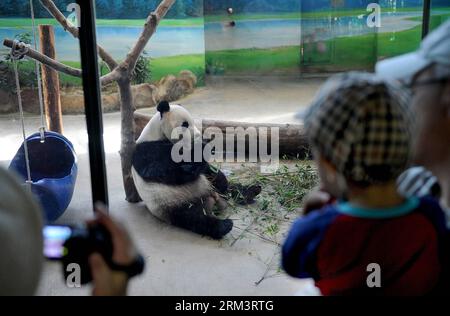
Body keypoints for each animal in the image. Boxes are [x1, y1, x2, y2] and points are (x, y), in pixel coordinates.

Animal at [131, 101, 260, 239]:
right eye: (185, 124)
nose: (198, 136)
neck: (156, 133)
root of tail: (213, 200)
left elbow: (208, 170)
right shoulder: (146, 151)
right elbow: (174, 171)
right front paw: (202, 148)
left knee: (230, 189)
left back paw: (251, 191)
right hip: (172, 204)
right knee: (193, 218)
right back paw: (223, 226)